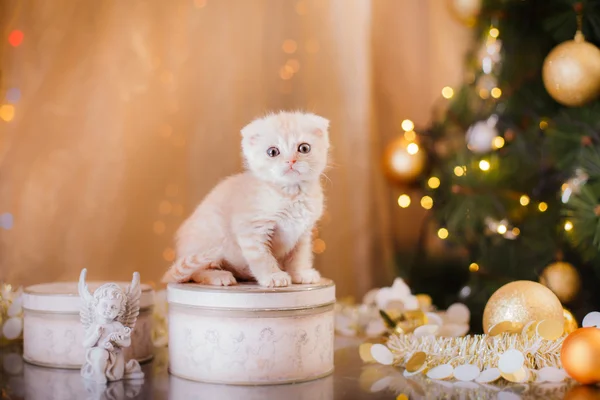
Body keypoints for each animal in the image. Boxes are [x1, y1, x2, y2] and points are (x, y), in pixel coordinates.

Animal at [162, 111, 330, 286]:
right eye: (272, 152)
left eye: (304, 148)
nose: (291, 161)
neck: (290, 194)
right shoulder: (252, 229)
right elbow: (262, 257)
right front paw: (273, 276)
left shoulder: (303, 233)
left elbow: (299, 256)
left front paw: (300, 273)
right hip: (208, 240)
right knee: (195, 272)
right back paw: (219, 276)